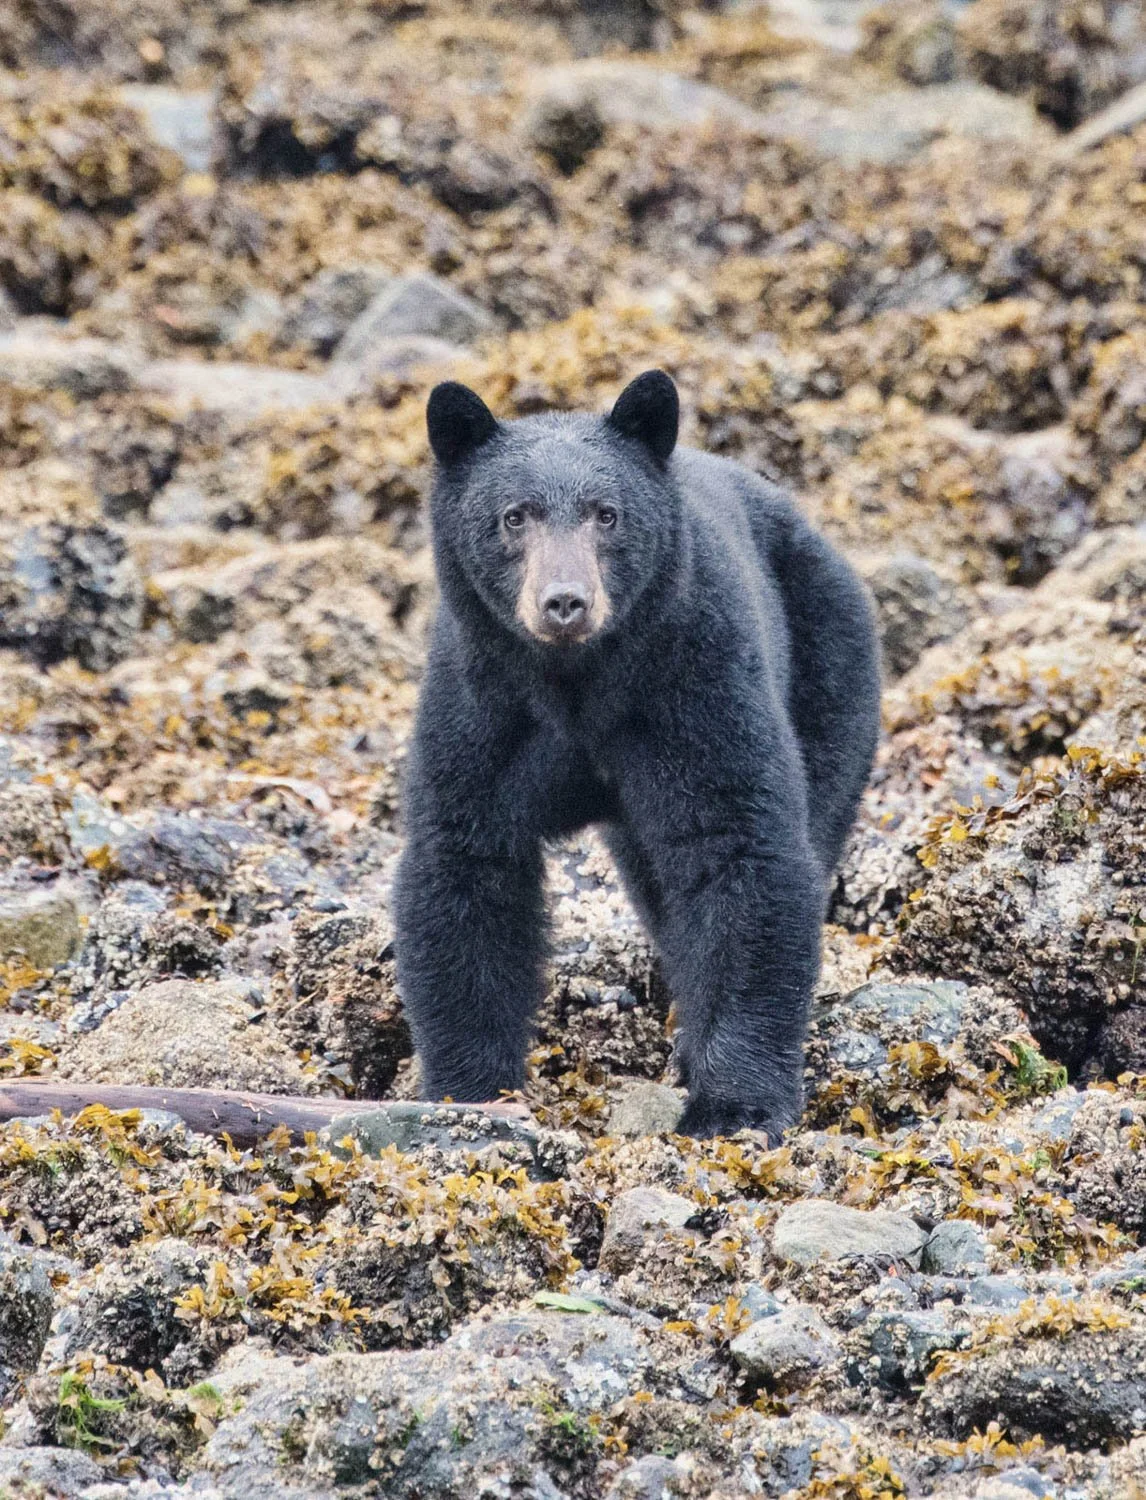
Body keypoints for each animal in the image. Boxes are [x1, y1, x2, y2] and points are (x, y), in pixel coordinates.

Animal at [393, 370, 881, 1141]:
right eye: (514, 516)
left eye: (607, 514)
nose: (565, 601)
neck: (578, 684)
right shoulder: (482, 704)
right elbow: (465, 860)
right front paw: (468, 1096)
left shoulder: (694, 682)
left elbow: (739, 849)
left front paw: (734, 1105)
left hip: (830, 663)